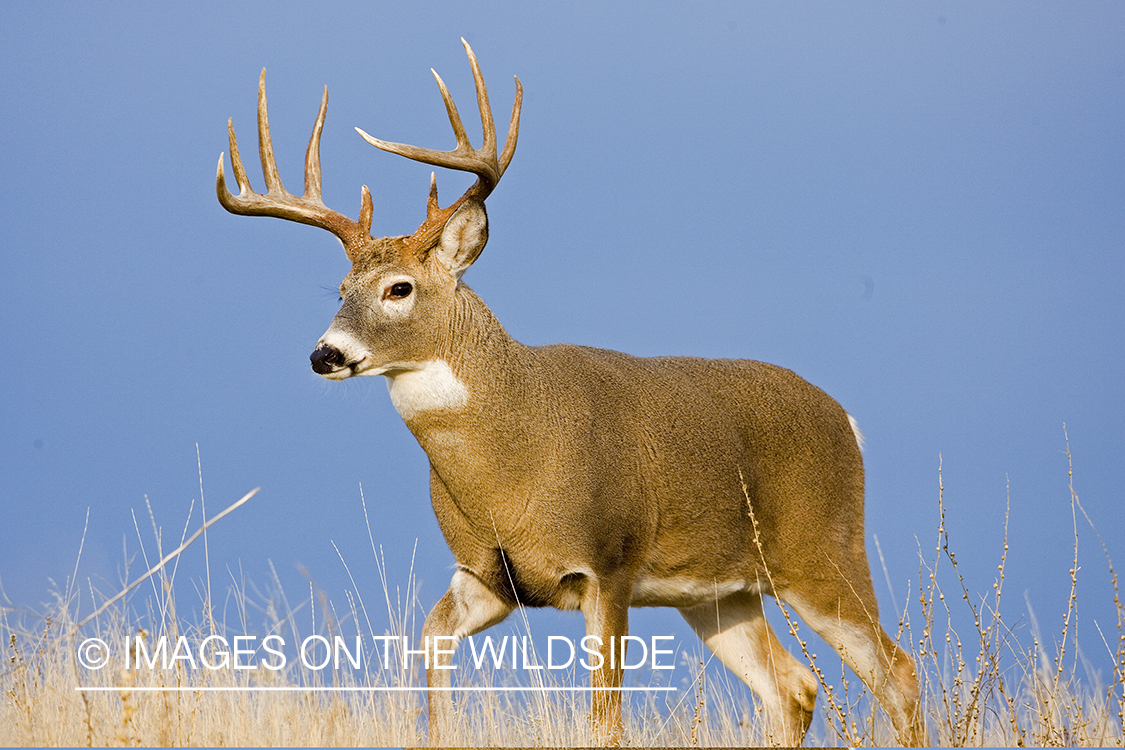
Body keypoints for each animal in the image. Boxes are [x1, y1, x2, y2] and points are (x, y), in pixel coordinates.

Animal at [214, 42, 927, 750]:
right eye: (340, 289)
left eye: (399, 288)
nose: (324, 354)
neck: (512, 455)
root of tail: (847, 419)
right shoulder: (484, 575)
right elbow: (430, 644)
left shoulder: (609, 564)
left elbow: (605, 722)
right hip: (718, 593)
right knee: (793, 687)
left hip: (822, 552)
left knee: (897, 671)